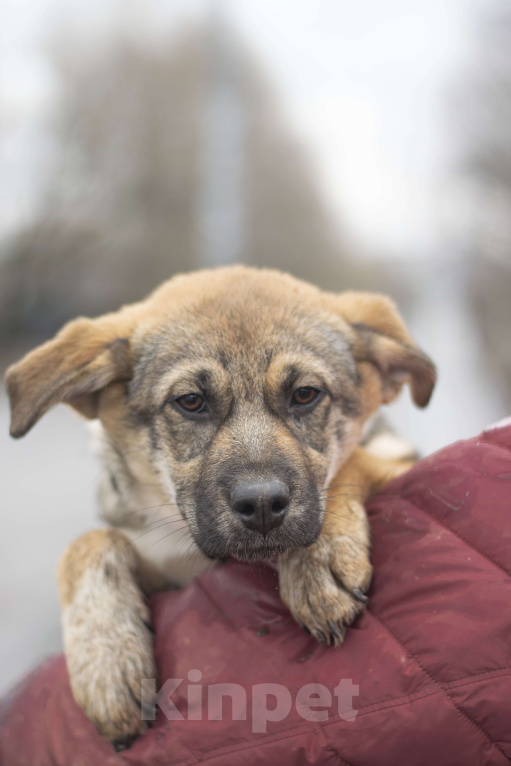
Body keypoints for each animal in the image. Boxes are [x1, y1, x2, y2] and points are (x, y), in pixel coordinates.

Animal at [5, 268, 436, 748]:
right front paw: (105, 660)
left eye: (306, 394)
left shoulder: (399, 462)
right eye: (191, 402)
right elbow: (88, 542)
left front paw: (318, 558)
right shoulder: (169, 566)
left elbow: (352, 462)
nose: (263, 505)